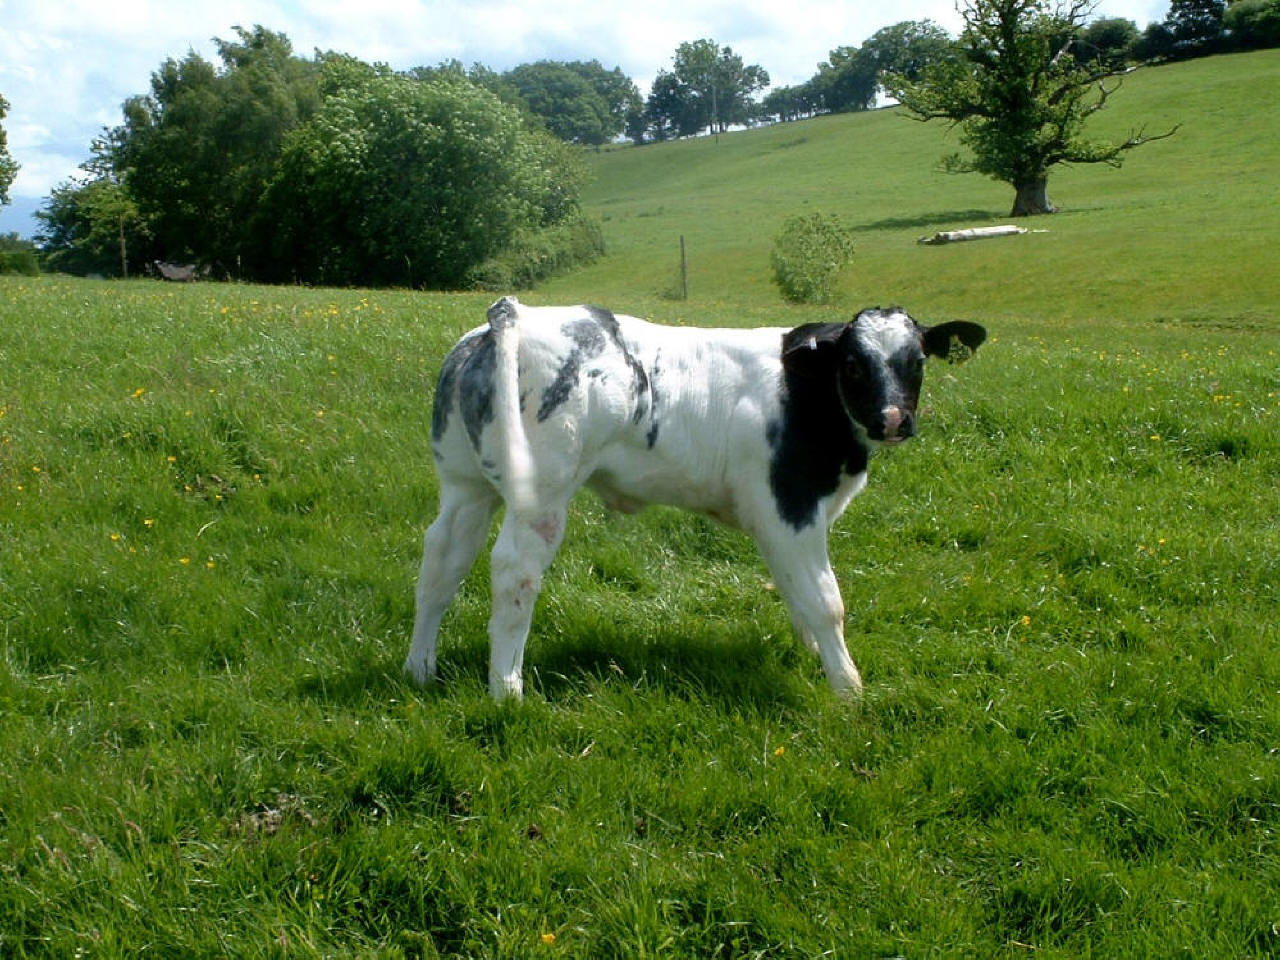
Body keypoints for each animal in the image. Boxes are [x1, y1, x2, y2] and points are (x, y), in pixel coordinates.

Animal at [409, 296, 988, 701]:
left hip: (464, 486)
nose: (892, 420)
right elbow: (826, 602)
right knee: (514, 574)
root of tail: (514, 316)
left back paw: (420, 670)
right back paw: (507, 691)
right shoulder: (790, 507)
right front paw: (848, 688)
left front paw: (809, 654)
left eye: (917, 361)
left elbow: (795, 590)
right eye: (852, 365)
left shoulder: (786, 521)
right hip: (541, 495)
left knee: (441, 563)